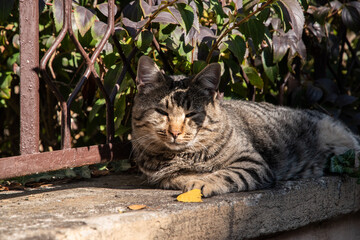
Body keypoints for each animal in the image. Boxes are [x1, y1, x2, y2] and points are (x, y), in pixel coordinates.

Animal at [131, 56, 360, 197]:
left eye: (191, 114)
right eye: (162, 112)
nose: (175, 132)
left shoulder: (253, 162)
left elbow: (226, 174)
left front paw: (203, 182)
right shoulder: (163, 176)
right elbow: (179, 176)